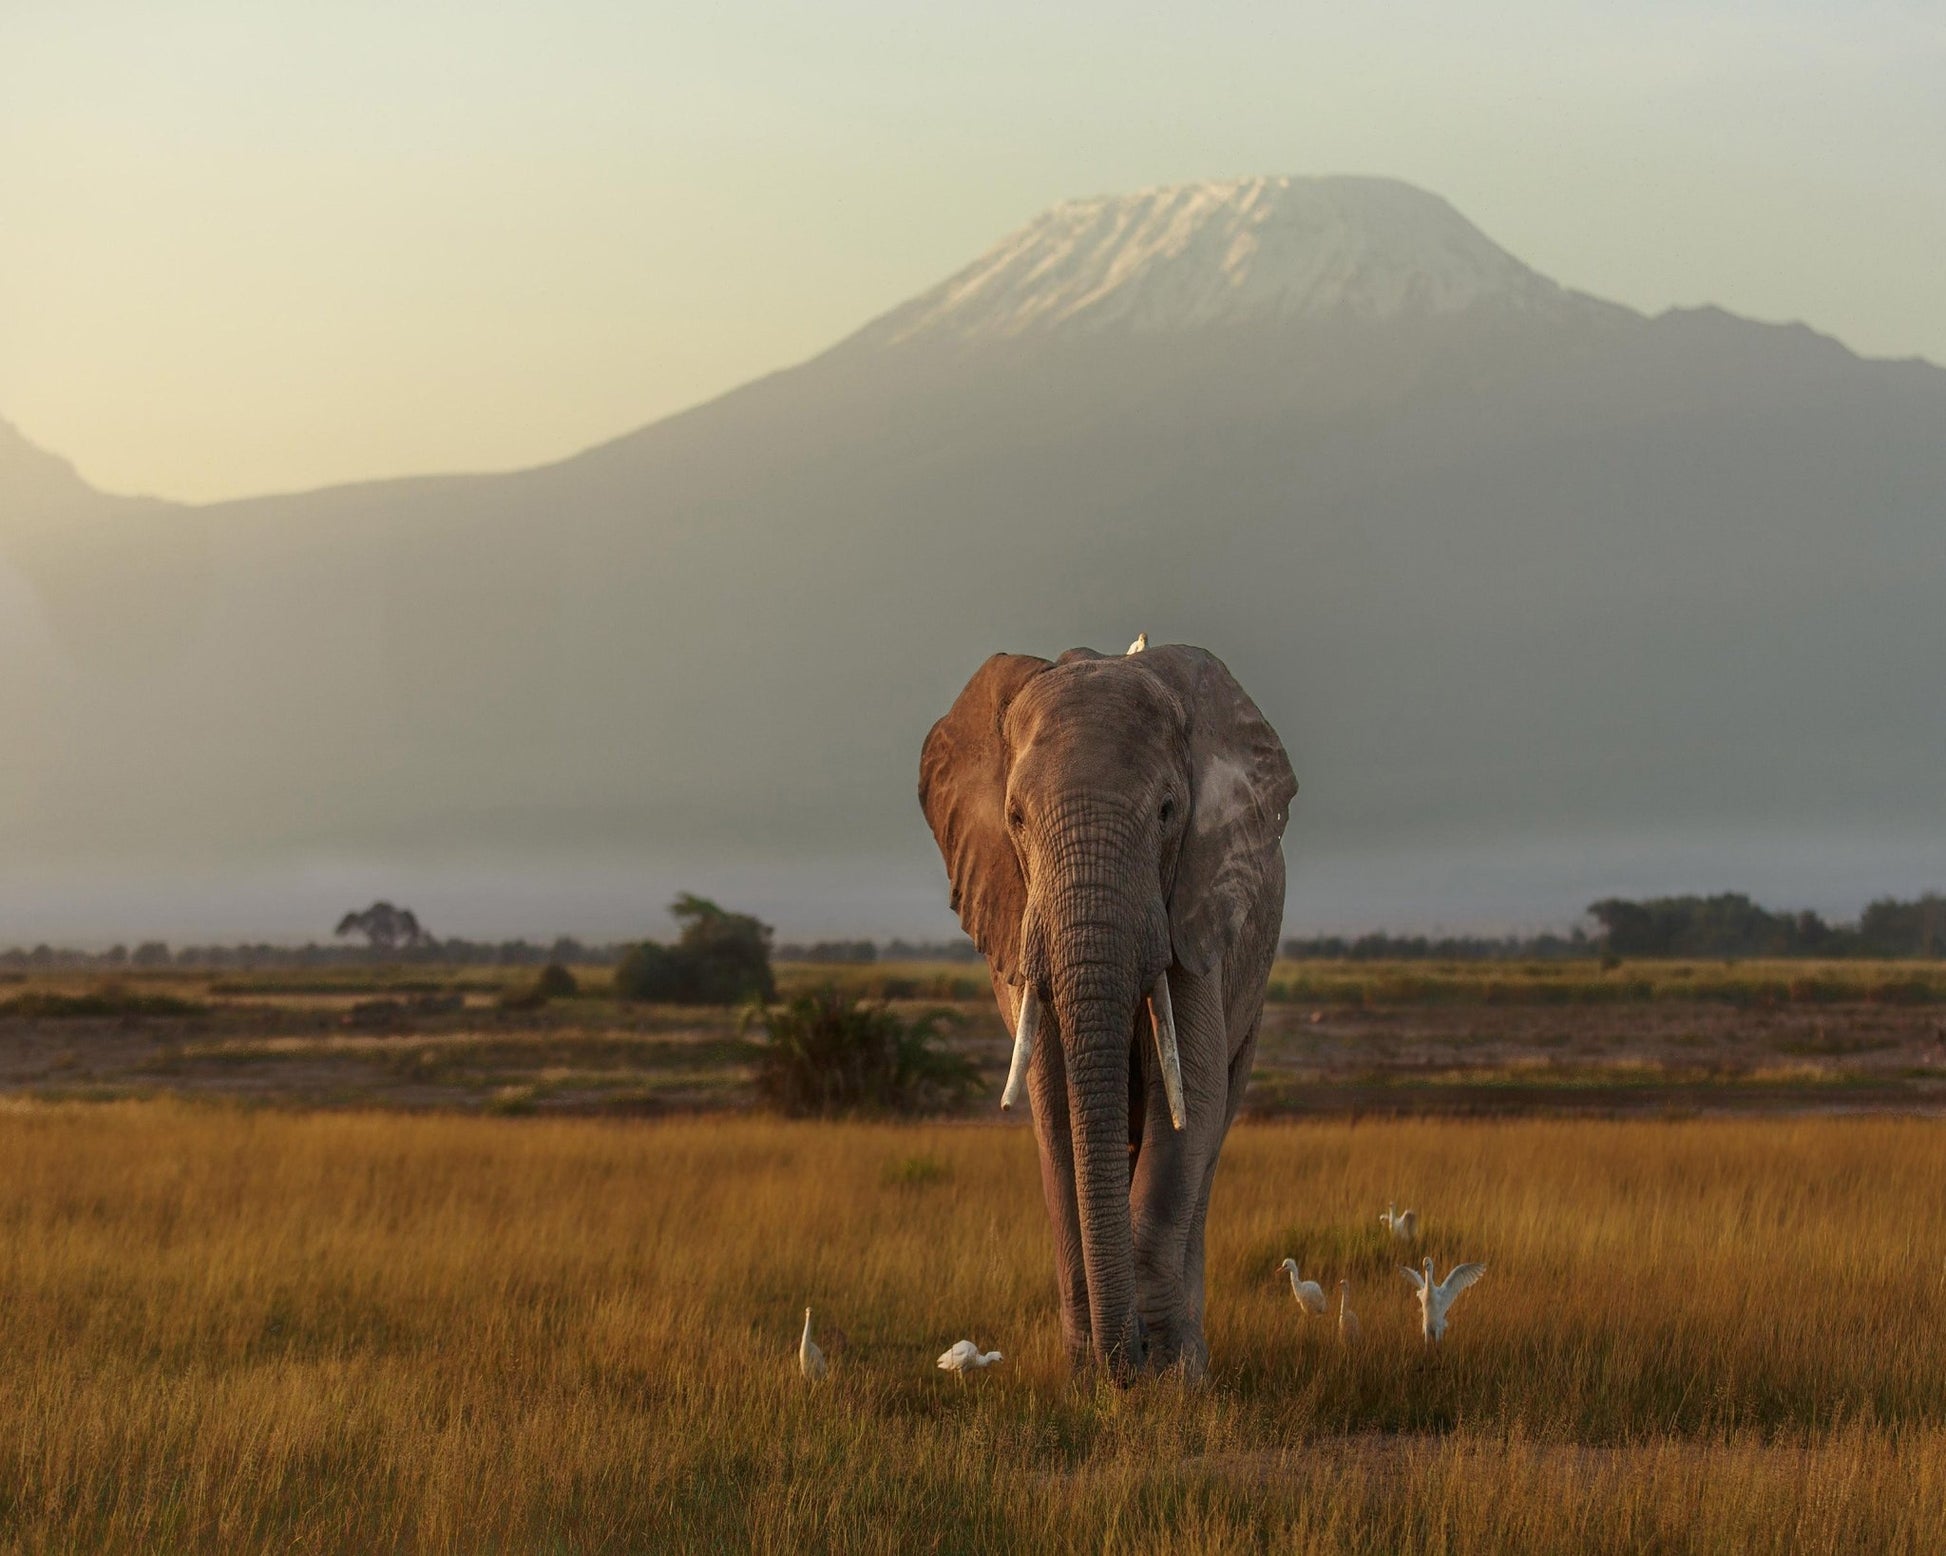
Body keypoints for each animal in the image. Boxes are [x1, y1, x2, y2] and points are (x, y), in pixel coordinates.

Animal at [919, 642, 1295, 1382]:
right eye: (1015, 819)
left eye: (1168, 811)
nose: (1127, 1365)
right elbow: (1056, 1107)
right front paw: (1088, 1378)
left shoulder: (1195, 906)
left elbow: (1191, 1103)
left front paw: (1170, 1381)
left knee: (1213, 1132)